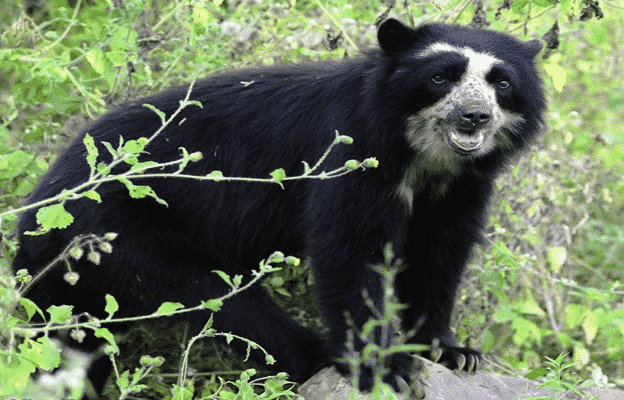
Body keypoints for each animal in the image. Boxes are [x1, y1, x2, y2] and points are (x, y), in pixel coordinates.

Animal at [12, 18, 544, 394]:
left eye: (501, 83)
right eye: (440, 77)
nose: (474, 117)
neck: (426, 157)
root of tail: (34, 213)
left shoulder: (462, 187)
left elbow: (439, 257)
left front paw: (452, 352)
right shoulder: (354, 156)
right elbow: (351, 252)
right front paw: (387, 368)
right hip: (119, 239)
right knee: (221, 301)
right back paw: (315, 357)